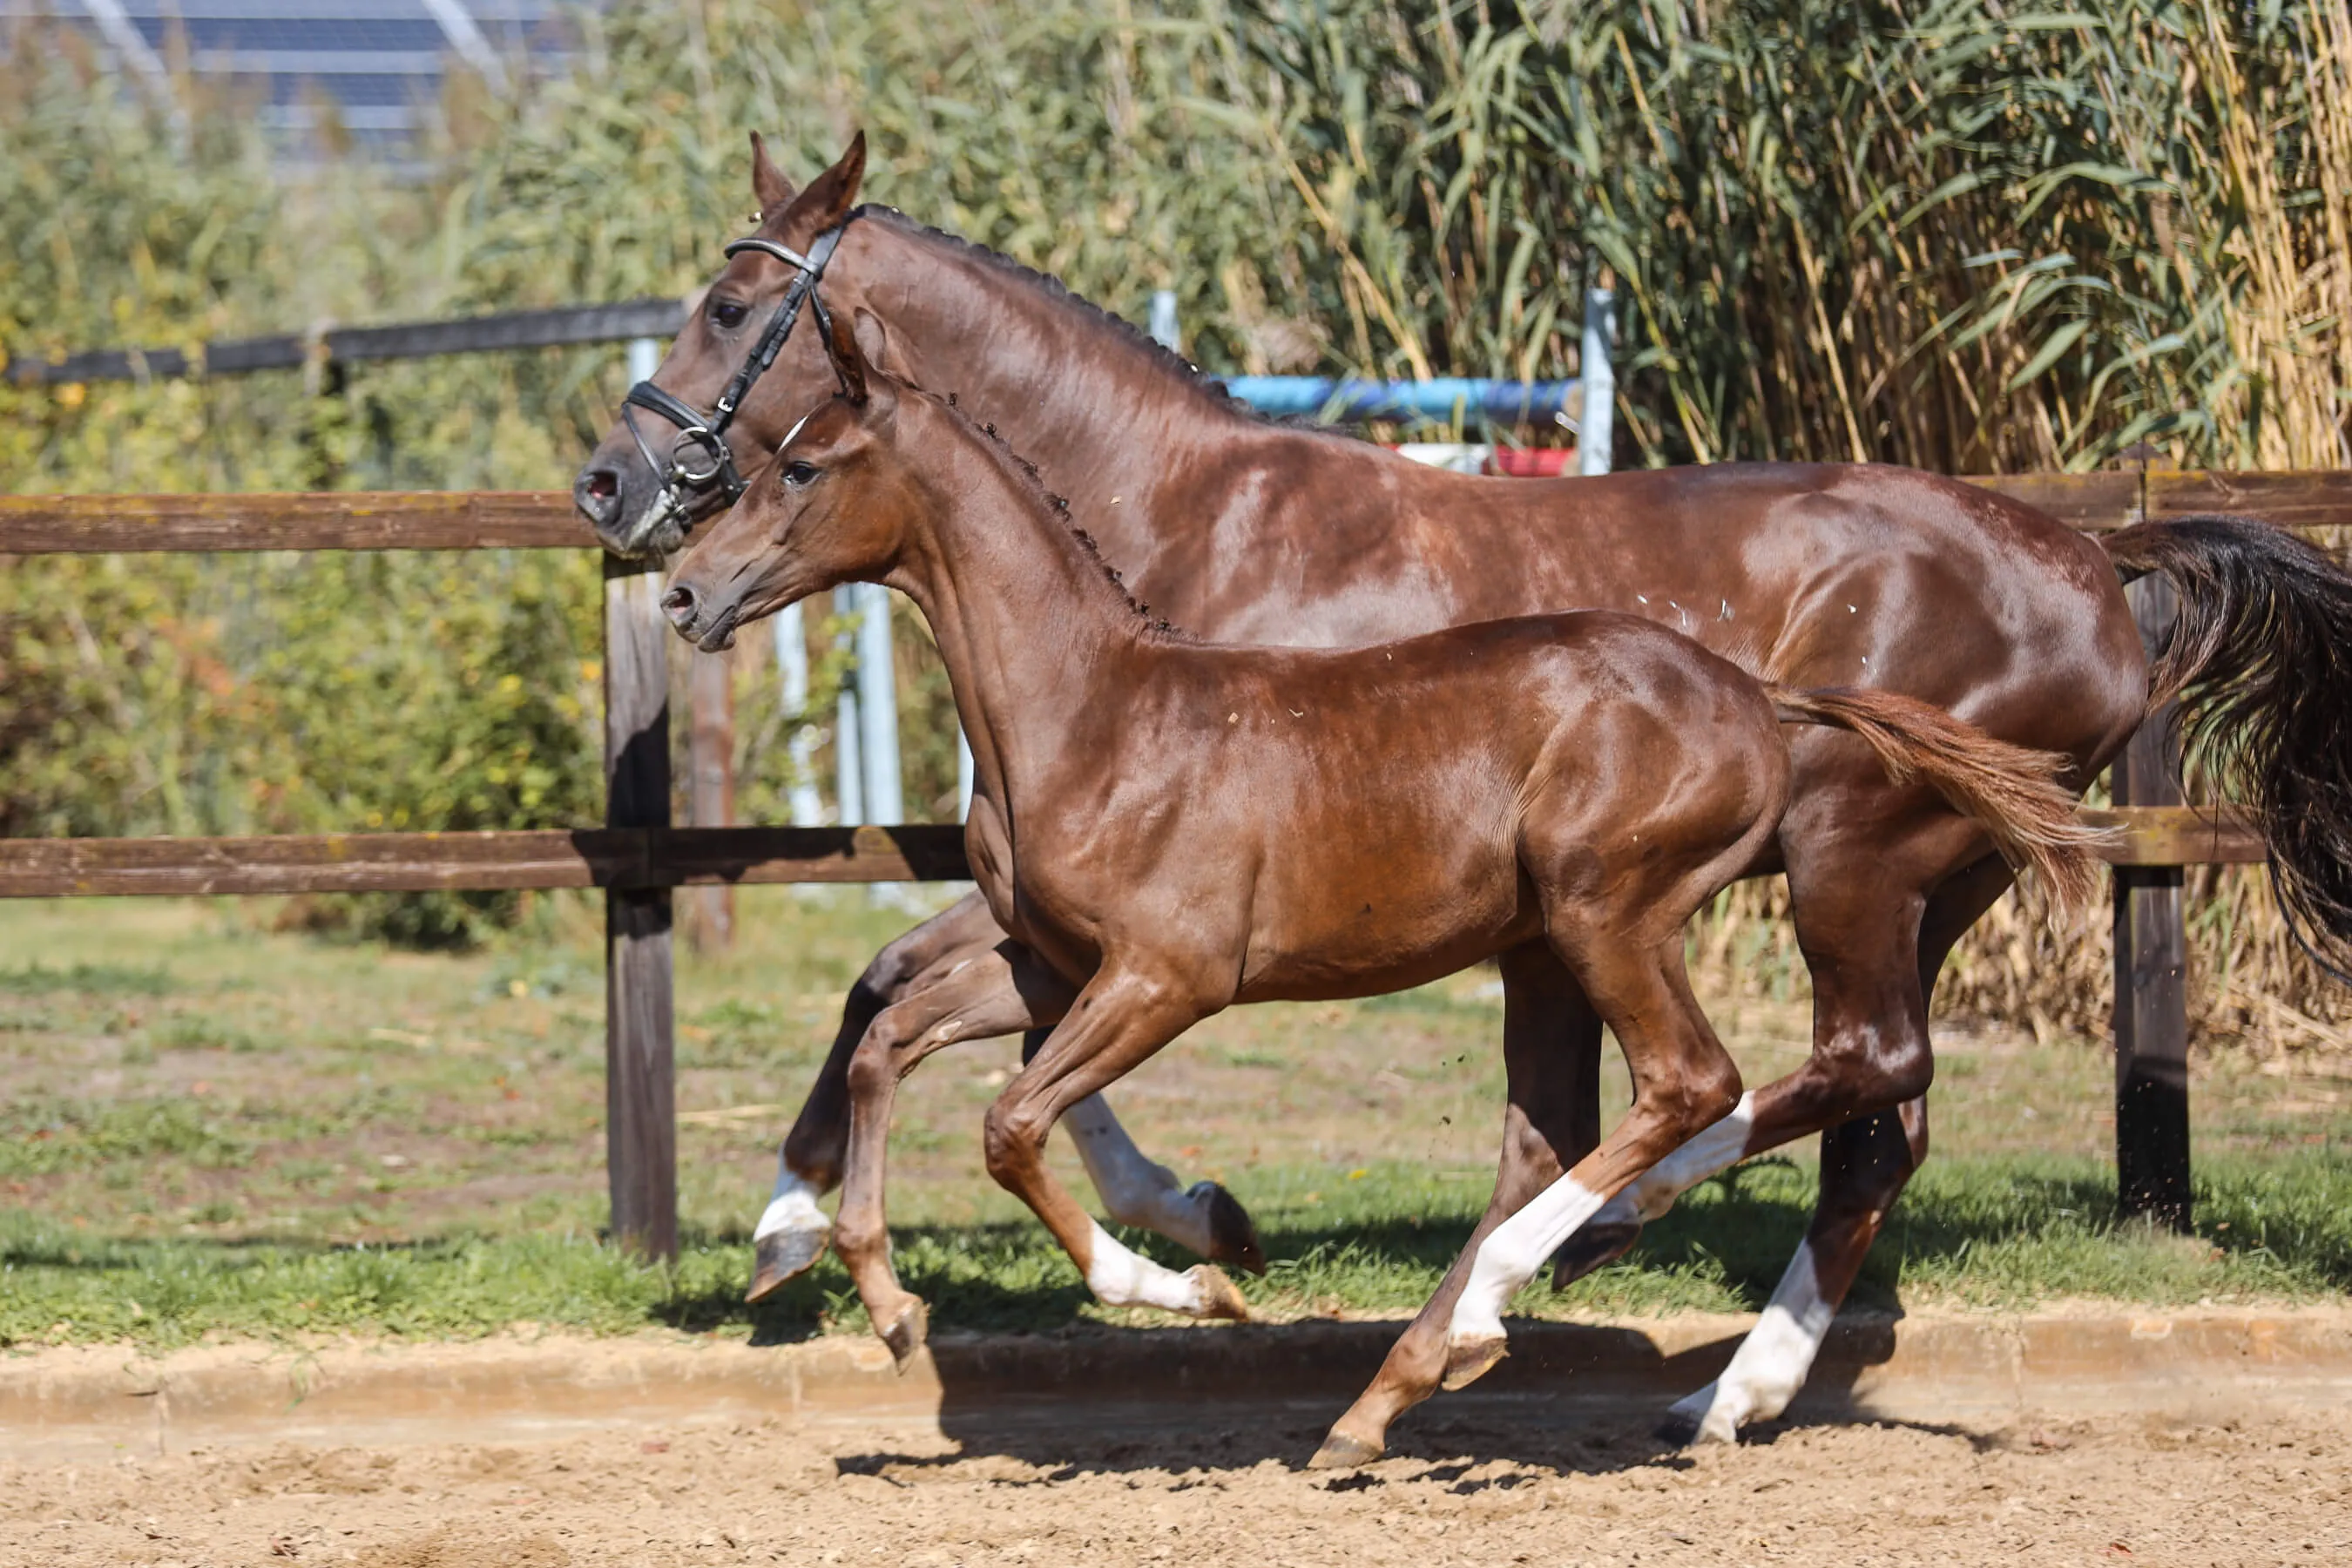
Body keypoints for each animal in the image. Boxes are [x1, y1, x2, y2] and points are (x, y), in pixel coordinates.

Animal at [659, 313, 2101, 1409]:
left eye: (802, 466)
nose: (677, 586)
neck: (1094, 706)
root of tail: (1759, 696)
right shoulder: (1050, 966)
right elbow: (889, 1038)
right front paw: (878, 1293)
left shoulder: (1168, 977)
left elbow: (1013, 1122)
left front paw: (1186, 1278)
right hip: (1570, 942)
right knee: (1613, 1126)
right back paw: (1429, 1376)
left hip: (1623, 912)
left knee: (1705, 1085)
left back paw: (1543, 1295)